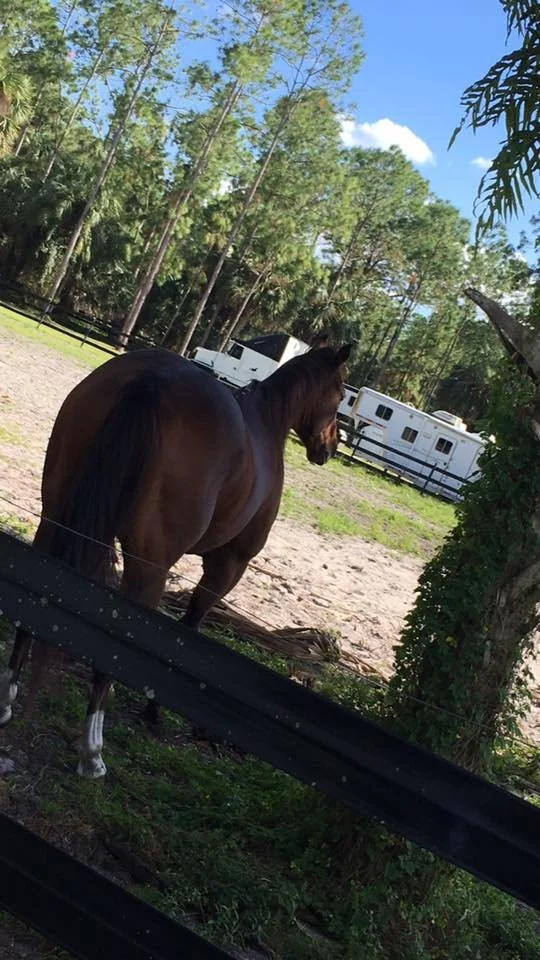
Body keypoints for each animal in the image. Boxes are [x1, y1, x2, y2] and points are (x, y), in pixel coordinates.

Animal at [0, 339, 351, 778]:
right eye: (341, 395)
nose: (330, 447)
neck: (268, 425)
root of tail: (153, 381)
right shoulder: (227, 566)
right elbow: (189, 630)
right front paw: (154, 709)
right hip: (149, 567)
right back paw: (92, 749)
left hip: (55, 520)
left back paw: (8, 697)